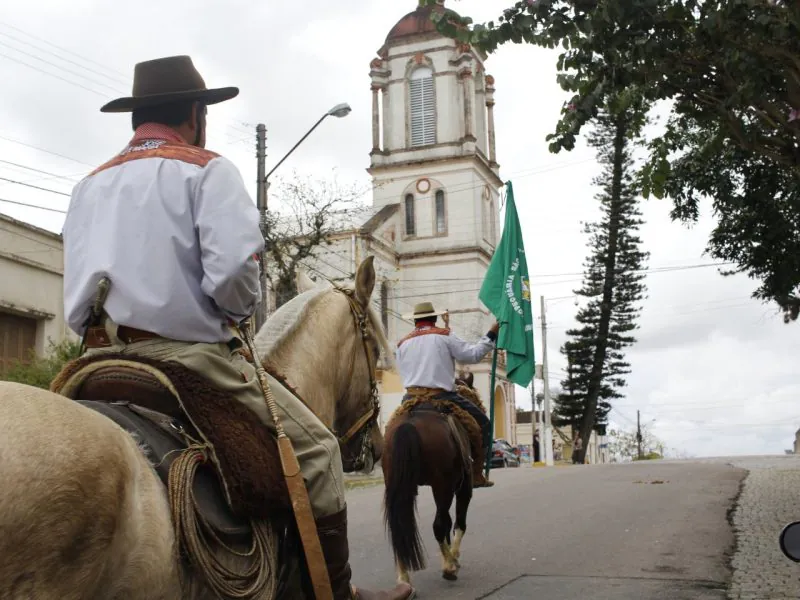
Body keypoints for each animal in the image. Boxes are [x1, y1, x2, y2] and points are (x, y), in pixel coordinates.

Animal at [382, 400, 476, 584]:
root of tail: (408, 424)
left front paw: (449, 557)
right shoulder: (463, 487)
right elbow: (458, 523)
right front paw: (453, 558)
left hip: (396, 484)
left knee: (398, 527)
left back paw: (404, 578)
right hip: (443, 485)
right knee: (439, 525)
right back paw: (449, 568)